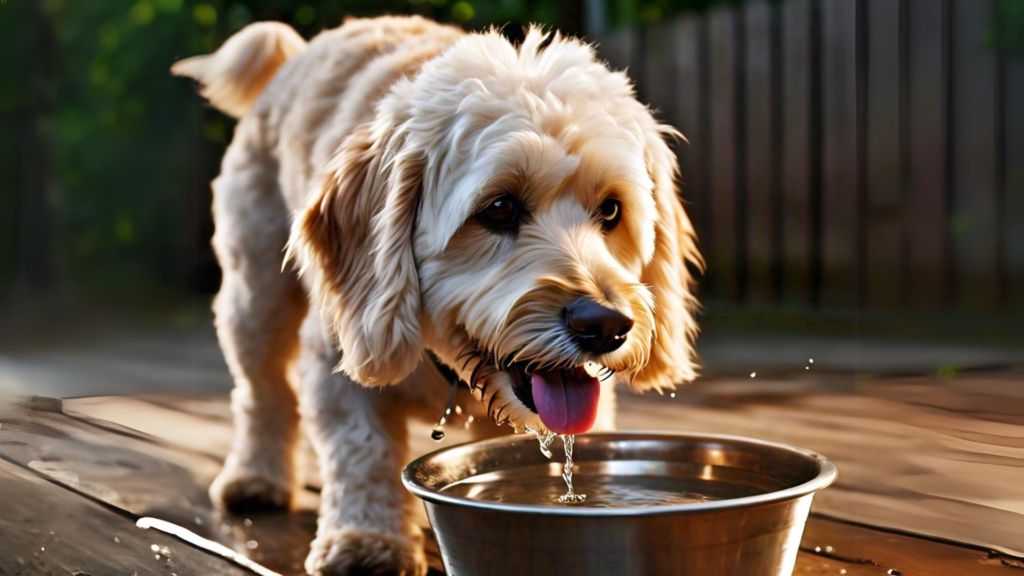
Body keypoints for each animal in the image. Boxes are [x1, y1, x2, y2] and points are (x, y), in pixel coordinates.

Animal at [174, 16, 704, 573]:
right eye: (499, 207)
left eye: (611, 210)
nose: (605, 326)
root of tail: (298, 53)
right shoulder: (341, 362)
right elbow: (362, 451)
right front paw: (366, 538)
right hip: (255, 299)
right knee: (262, 391)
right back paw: (256, 476)